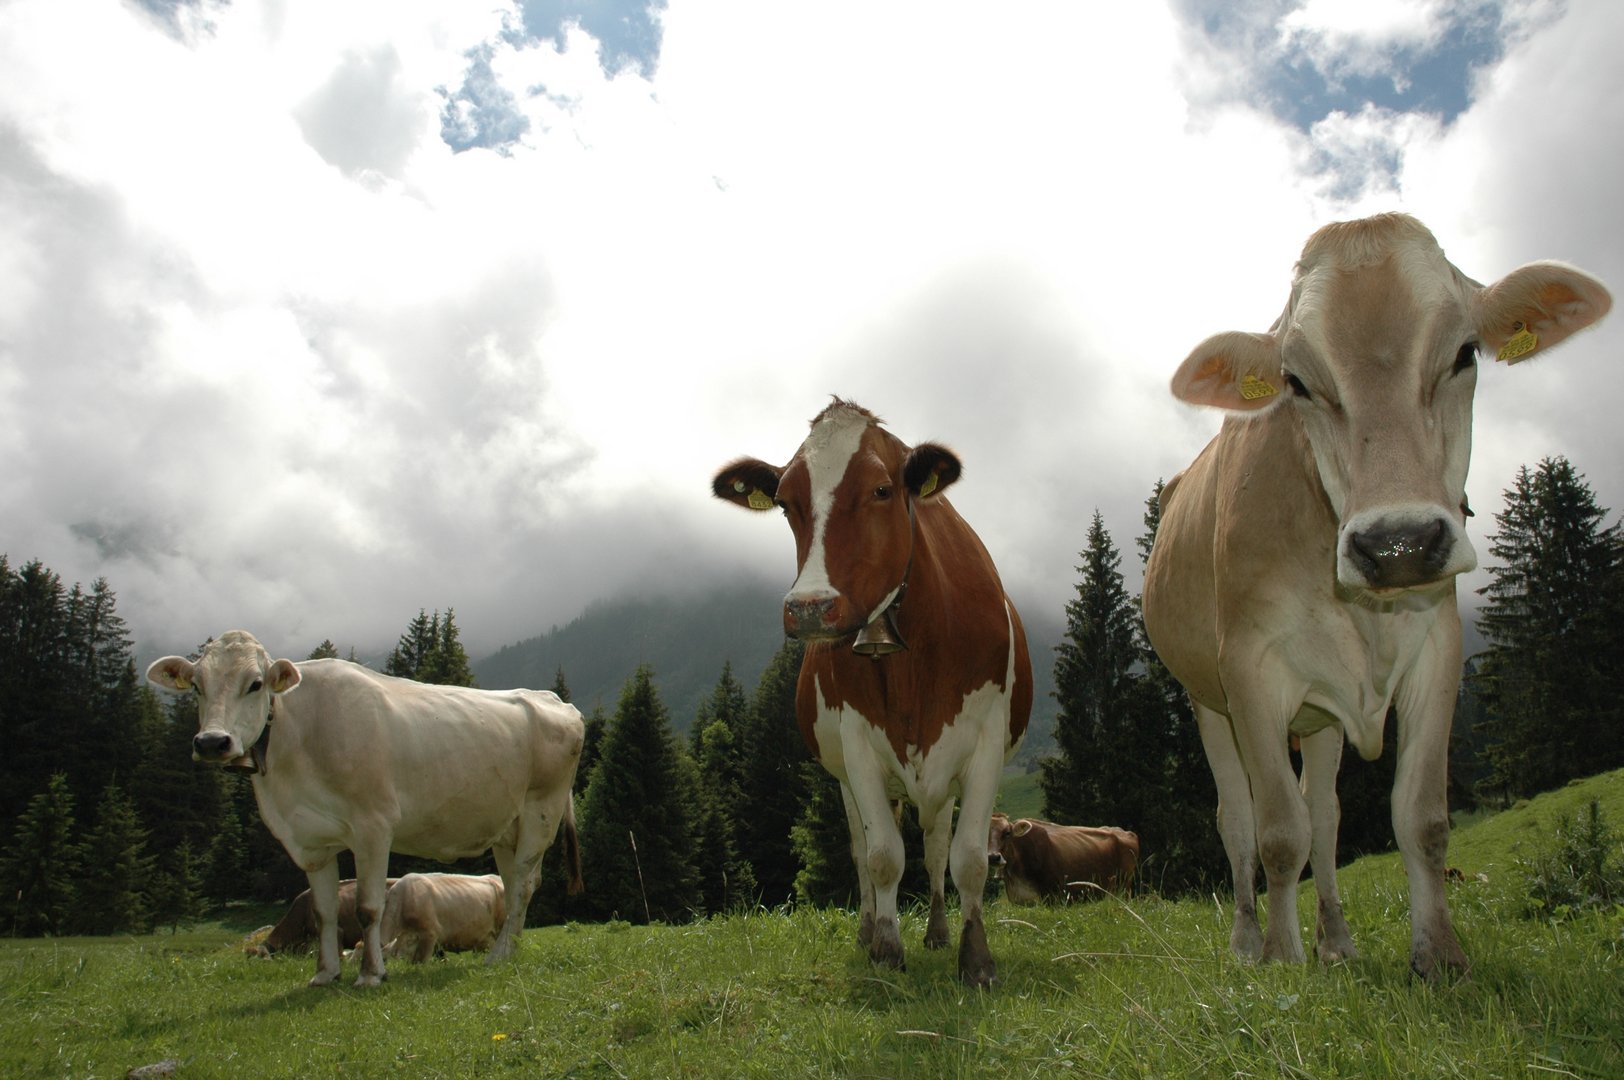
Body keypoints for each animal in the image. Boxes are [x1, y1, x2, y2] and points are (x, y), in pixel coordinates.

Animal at [714, 398, 1033, 986]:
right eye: (785, 503)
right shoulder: (858, 742)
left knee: (935, 849)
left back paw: (937, 931)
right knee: (863, 852)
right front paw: (886, 950)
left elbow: (969, 858)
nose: (809, 608)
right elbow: (883, 855)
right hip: (846, 776)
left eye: (882, 490)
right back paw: (868, 931)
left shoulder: (986, 744)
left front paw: (975, 959)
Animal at [1142, 213, 1611, 980]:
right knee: (1237, 818)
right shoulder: (1249, 670)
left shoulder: (1438, 646)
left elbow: (1419, 816)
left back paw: (1336, 940)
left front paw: (1439, 956)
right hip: (1203, 697)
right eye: (1297, 382)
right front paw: (1282, 962)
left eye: (1465, 353)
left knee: (1326, 815)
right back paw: (1247, 943)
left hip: (1321, 715)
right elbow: (1277, 831)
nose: (1399, 543)